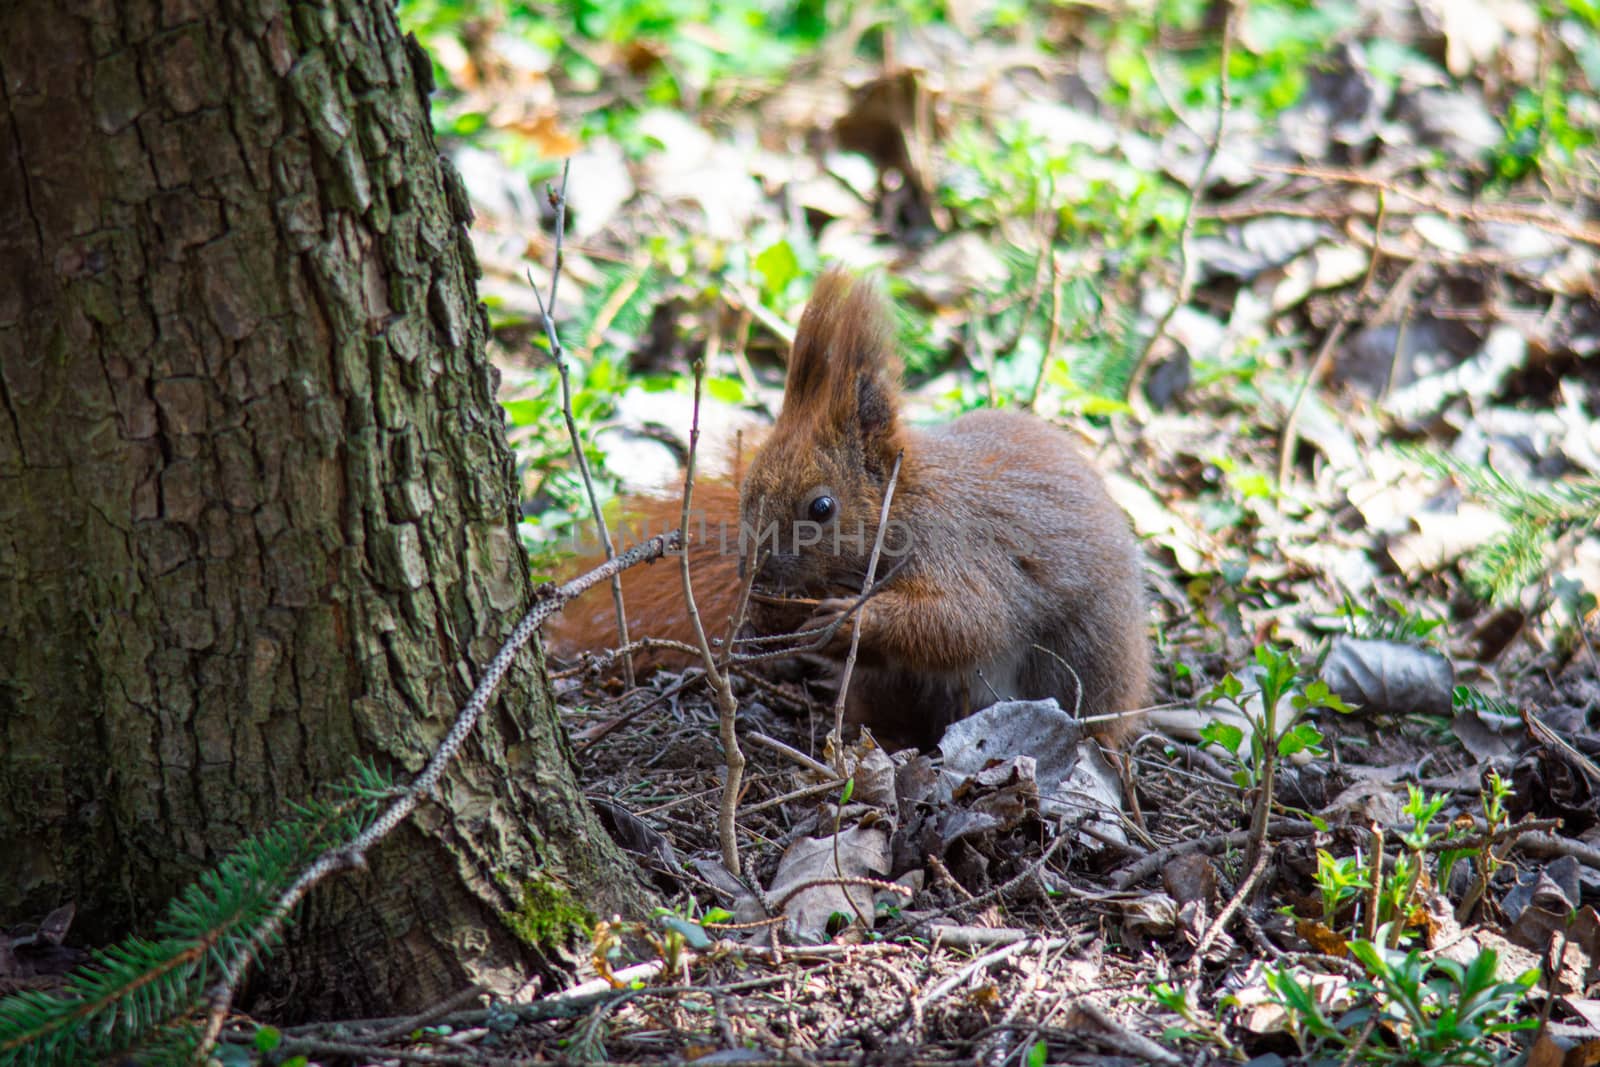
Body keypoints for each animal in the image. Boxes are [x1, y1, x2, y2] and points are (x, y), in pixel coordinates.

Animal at [550, 271, 1152, 748]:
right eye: (747, 492)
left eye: (822, 507)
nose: (751, 573)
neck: (903, 502)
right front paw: (777, 618)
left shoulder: (960, 548)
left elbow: (965, 620)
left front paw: (850, 618)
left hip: (1082, 659)